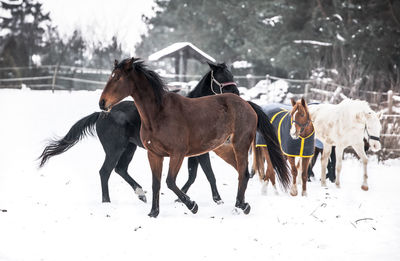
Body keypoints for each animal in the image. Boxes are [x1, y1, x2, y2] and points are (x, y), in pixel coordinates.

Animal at [38, 60, 241, 203]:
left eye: (231, 74)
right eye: (222, 77)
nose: (237, 94)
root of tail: (101, 114)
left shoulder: (193, 152)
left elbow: (194, 175)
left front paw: (183, 198)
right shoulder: (199, 152)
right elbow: (208, 175)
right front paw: (216, 200)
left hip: (129, 148)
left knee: (120, 169)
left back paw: (141, 193)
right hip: (115, 149)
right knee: (105, 172)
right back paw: (107, 202)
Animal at [98, 57, 290, 217]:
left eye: (118, 78)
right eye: (112, 77)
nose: (102, 102)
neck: (158, 114)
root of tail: (246, 104)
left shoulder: (178, 153)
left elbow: (171, 181)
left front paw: (192, 205)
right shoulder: (154, 154)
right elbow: (157, 183)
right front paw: (153, 213)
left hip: (239, 144)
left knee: (243, 173)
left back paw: (240, 206)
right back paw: (241, 204)